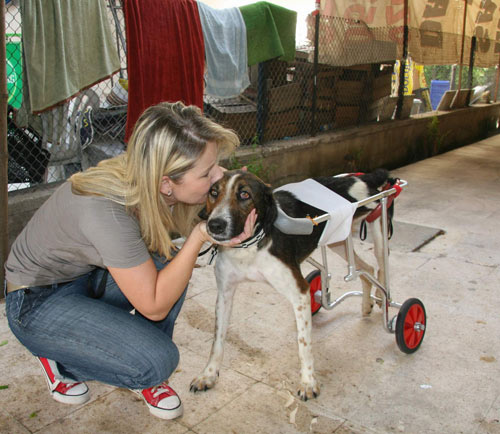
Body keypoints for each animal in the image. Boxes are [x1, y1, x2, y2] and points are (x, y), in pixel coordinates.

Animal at [190, 169, 394, 400]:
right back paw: (366, 304)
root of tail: (363, 176)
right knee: (366, 269)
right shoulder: (224, 293)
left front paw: (308, 382)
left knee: (381, 269)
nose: (215, 225)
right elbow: (217, 341)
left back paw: (385, 304)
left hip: (378, 226)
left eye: (244, 194)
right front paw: (208, 375)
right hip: (338, 239)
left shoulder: (300, 292)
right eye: (214, 192)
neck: (249, 246)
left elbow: (303, 344)